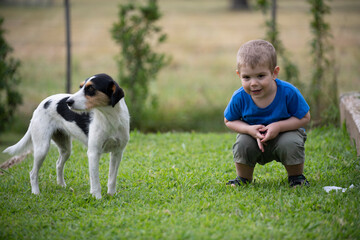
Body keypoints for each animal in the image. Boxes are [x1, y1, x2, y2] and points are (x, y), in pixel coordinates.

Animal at [2, 73, 130, 199]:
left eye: (91, 88)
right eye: (80, 87)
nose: (68, 102)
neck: (110, 118)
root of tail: (41, 104)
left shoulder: (117, 153)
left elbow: (112, 178)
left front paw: (111, 195)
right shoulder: (93, 153)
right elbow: (95, 181)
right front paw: (97, 198)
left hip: (66, 149)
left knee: (58, 164)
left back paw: (61, 185)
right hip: (42, 148)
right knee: (33, 173)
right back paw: (36, 192)